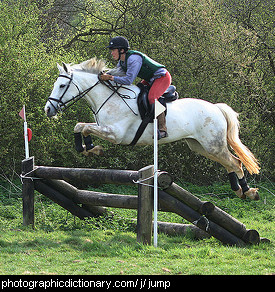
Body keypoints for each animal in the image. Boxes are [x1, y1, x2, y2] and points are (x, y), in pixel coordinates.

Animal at [44, 58, 260, 202]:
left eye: (62, 85)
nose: (48, 109)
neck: (110, 98)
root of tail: (216, 107)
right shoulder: (104, 128)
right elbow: (80, 126)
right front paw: (88, 149)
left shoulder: (115, 134)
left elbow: (84, 127)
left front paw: (92, 148)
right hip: (200, 146)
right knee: (229, 163)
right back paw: (239, 190)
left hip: (212, 144)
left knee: (235, 162)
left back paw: (248, 191)